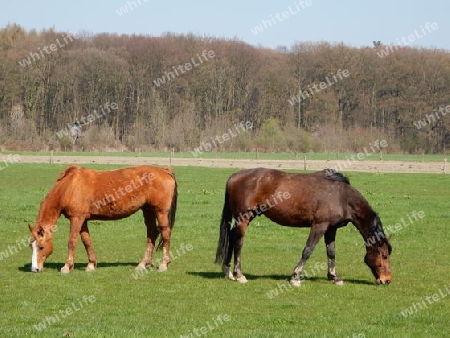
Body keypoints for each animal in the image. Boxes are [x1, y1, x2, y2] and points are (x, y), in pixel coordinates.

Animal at [28, 165, 178, 274]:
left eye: (41, 247)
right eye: (31, 246)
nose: (35, 269)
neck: (69, 186)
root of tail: (165, 171)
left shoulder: (76, 218)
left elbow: (72, 242)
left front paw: (67, 266)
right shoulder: (83, 220)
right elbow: (86, 241)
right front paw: (91, 264)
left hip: (160, 212)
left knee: (165, 234)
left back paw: (164, 264)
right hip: (148, 210)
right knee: (152, 234)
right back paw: (143, 264)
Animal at [216, 168, 392, 286]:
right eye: (384, 256)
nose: (387, 280)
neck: (342, 197)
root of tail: (235, 176)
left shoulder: (331, 229)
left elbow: (331, 252)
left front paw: (334, 277)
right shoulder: (319, 226)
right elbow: (308, 250)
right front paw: (295, 277)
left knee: (231, 236)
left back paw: (228, 271)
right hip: (244, 218)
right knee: (238, 242)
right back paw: (239, 274)